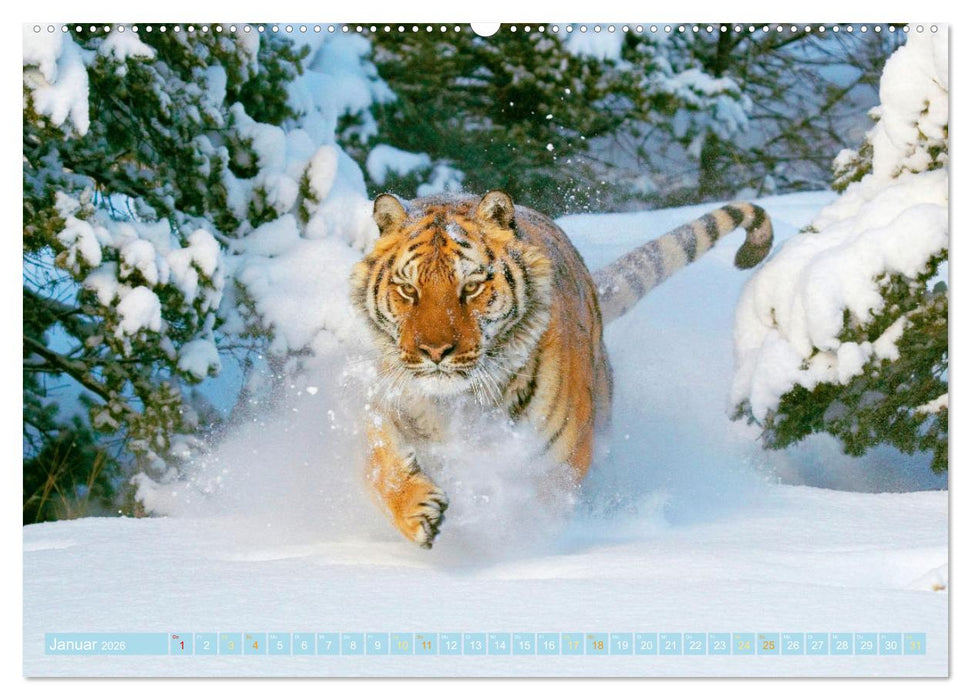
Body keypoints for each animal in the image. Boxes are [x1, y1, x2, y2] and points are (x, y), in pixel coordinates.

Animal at [349, 191, 772, 548]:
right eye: (408, 289)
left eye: (471, 287)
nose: (434, 352)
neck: (460, 402)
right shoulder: (383, 405)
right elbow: (380, 466)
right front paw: (418, 513)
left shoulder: (560, 460)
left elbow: (540, 507)